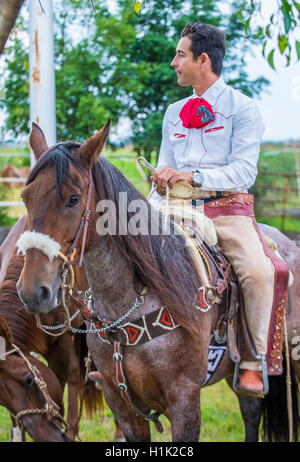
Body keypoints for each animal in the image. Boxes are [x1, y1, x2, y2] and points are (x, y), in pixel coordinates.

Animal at [15, 122, 300, 440]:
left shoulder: (185, 401)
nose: (33, 291)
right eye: (26, 197)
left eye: (73, 198)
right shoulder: (122, 405)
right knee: (250, 411)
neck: (128, 305)